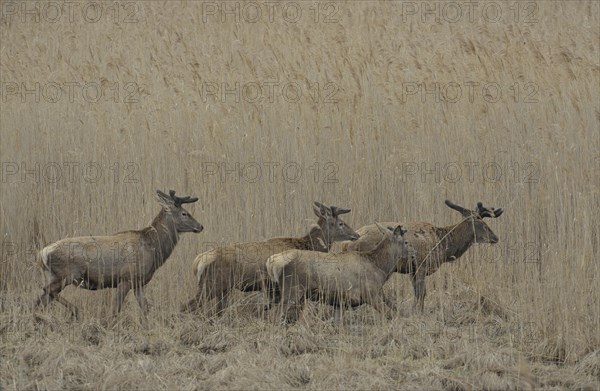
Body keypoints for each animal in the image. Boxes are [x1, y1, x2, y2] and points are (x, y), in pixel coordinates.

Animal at [35, 190, 204, 322]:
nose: (200, 226)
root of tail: (42, 254)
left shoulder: (138, 282)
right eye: (184, 213)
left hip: (54, 275)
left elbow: (145, 308)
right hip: (68, 274)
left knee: (40, 299)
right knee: (46, 290)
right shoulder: (126, 278)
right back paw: (76, 311)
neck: (153, 248)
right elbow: (116, 309)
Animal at [180, 202, 358, 316]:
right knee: (186, 306)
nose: (356, 235)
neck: (307, 244)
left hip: (223, 289)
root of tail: (198, 262)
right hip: (211, 285)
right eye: (341, 223)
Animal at [268, 225, 412, 324]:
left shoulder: (341, 302)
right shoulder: (370, 293)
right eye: (406, 242)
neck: (381, 269)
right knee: (275, 313)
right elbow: (389, 314)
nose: (414, 253)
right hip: (293, 289)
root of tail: (272, 262)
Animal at [342, 199, 502, 312]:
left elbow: (418, 292)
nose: (495, 237)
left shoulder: (412, 270)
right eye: (483, 224)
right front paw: (418, 312)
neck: (444, 246)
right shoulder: (421, 265)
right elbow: (421, 292)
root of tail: (346, 244)